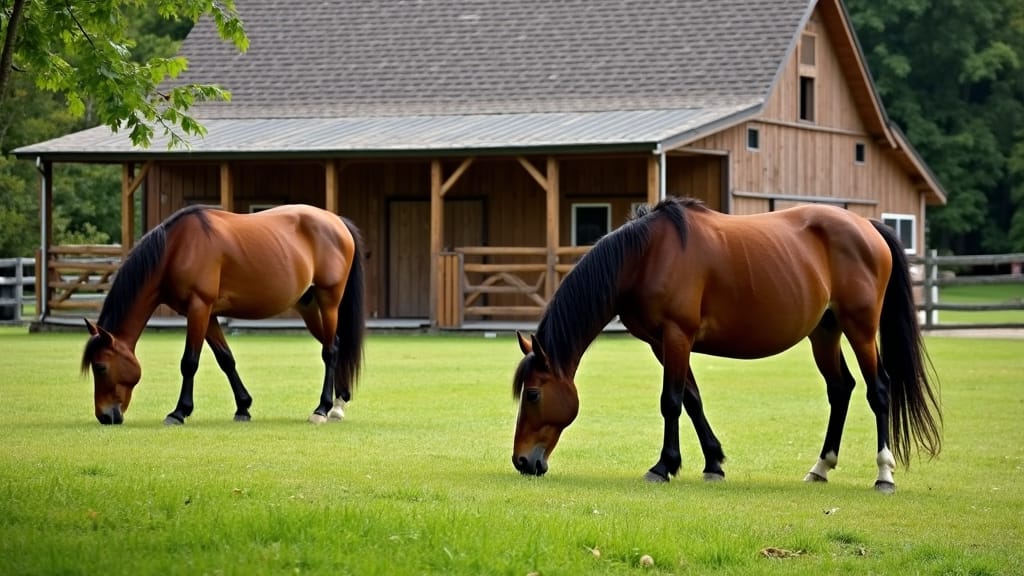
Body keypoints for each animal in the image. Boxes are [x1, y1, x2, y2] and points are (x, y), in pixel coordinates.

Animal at [80, 203, 366, 426]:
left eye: (101, 366)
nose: (105, 416)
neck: (177, 249)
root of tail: (336, 222)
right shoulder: (206, 313)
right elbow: (225, 359)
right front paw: (243, 407)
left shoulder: (198, 308)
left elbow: (189, 362)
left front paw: (179, 412)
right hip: (308, 306)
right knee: (335, 344)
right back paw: (338, 404)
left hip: (329, 301)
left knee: (330, 351)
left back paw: (322, 409)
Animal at [512, 197, 941, 492]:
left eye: (533, 394)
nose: (522, 461)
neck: (646, 256)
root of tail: (866, 225)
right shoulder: (662, 343)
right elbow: (692, 400)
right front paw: (713, 463)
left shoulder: (676, 335)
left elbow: (671, 402)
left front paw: (663, 467)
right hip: (825, 331)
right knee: (841, 389)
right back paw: (820, 468)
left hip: (860, 328)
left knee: (878, 390)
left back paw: (884, 474)